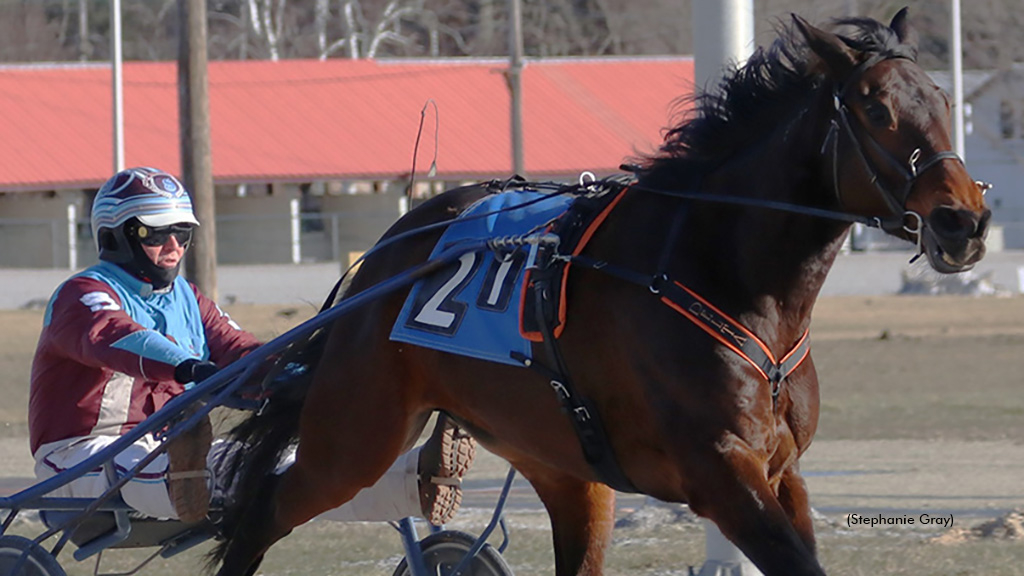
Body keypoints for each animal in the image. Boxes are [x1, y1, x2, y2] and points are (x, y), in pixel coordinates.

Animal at [211, 8, 987, 573]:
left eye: (944, 99)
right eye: (876, 109)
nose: (964, 220)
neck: (721, 272)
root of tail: (383, 253)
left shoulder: (782, 472)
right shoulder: (722, 474)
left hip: (558, 464)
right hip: (354, 437)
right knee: (261, 517)